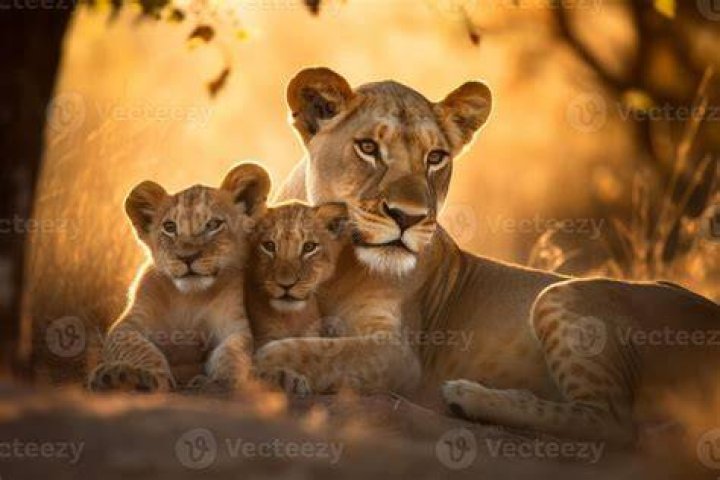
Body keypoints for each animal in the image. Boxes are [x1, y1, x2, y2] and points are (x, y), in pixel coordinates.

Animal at [88, 162, 271, 393]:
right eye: (169, 227)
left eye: (213, 225)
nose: (187, 257)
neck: (189, 298)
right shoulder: (126, 326)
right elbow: (139, 348)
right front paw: (145, 376)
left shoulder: (233, 327)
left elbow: (232, 354)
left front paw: (221, 382)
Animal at [253, 67, 720, 444]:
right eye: (367, 147)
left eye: (435, 157)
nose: (409, 217)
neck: (336, 262)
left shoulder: (399, 354)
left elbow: (314, 350)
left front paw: (271, 366)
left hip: (561, 295)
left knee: (612, 422)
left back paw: (467, 396)